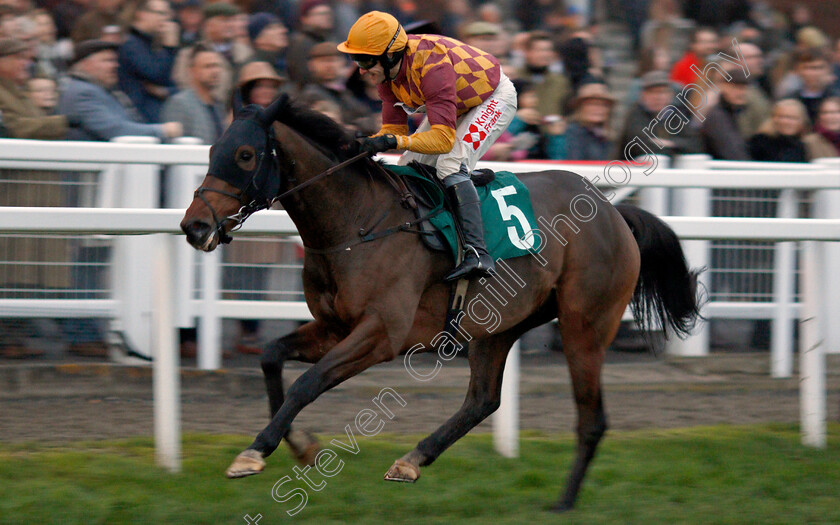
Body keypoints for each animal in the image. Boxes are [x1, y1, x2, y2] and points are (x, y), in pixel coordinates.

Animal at [180, 93, 700, 508]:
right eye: (212, 150)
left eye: (246, 154)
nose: (194, 226)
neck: (356, 223)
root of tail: (614, 211)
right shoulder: (334, 326)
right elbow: (271, 356)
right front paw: (297, 445)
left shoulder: (381, 333)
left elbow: (307, 383)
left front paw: (258, 450)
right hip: (497, 324)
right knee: (483, 400)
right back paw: (412, 459)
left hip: (584, 325)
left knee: (591, 419)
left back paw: (563, 503)